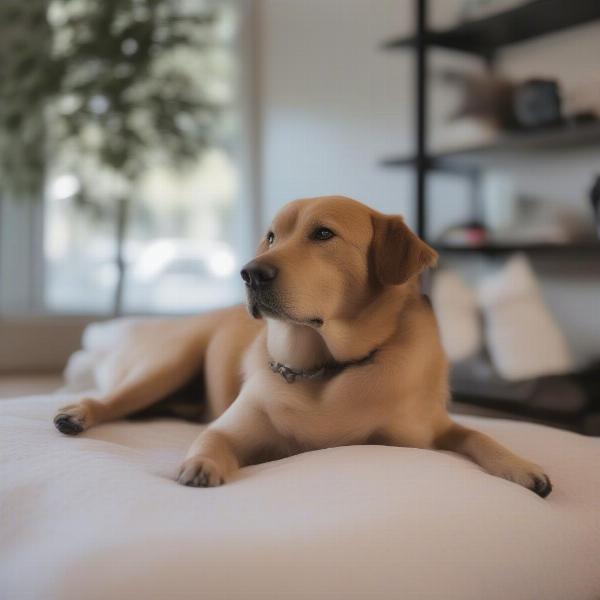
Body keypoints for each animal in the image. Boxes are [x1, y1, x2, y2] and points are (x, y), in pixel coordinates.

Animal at [52, 197, 552, 496]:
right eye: (272, 236)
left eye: (323, 234)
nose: (250, 273)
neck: (322, 367)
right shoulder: (233, 426)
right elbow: (212, 438)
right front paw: (201, 464)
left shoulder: (429, 432)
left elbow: (479, 434)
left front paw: (523, 466)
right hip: (167, 364)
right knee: (112, 398)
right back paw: (76, 413)